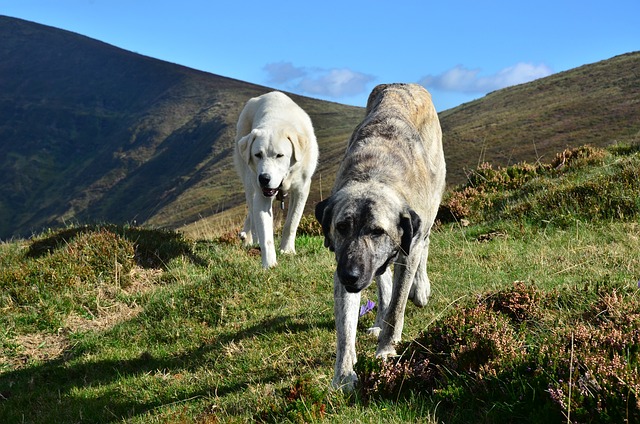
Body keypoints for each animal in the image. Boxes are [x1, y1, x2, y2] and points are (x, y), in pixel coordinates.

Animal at [234, 92, 318, 268]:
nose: (264, 178)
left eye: (280, 155)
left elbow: (291, 223)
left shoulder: (302, 189)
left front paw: (287, 250)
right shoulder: (261, 195)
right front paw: (270, 264)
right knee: (252, 210)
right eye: (258, 154)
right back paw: (251, 239)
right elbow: (265, 233)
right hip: (248, 180)